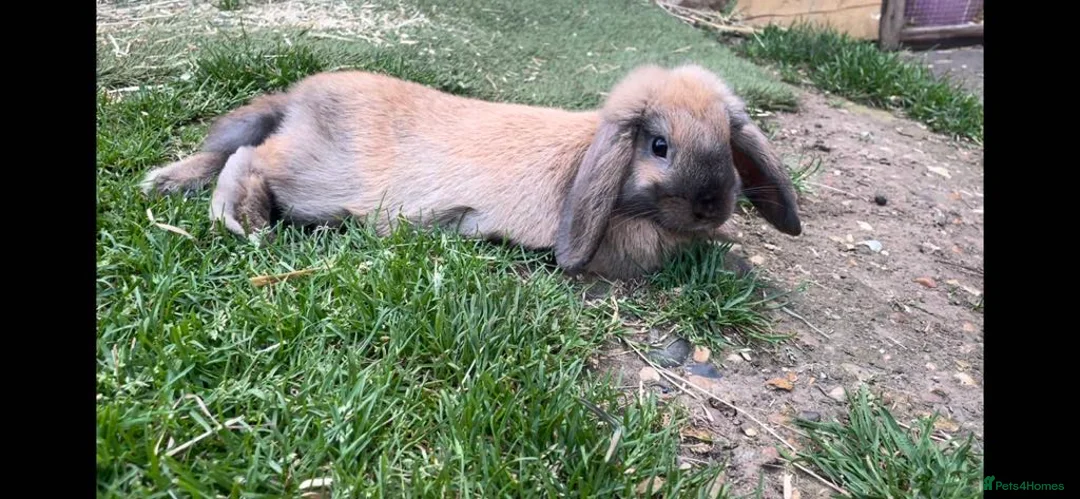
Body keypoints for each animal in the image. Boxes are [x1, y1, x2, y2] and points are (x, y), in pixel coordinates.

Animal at [140, 63, 802, 280]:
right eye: (659, 145)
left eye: (726, 144)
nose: (711, 205)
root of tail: (300, 98)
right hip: (316, 180)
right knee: (248, 158)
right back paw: (241, 218)